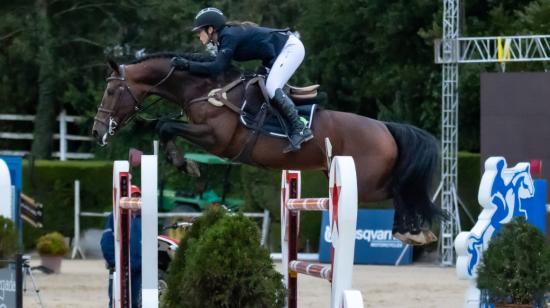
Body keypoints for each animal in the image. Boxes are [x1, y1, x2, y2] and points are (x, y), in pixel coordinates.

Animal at [90, 52, 444, 245]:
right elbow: (164, 126)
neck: (205, 88)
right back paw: (414, 231)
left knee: (401, 189)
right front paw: (185, 164)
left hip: (367, 182)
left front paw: (185, 165)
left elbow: (164, 126)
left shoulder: (215, 138)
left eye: (111, 91)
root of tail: (385, 127)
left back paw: (413, 232)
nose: (97, 132)